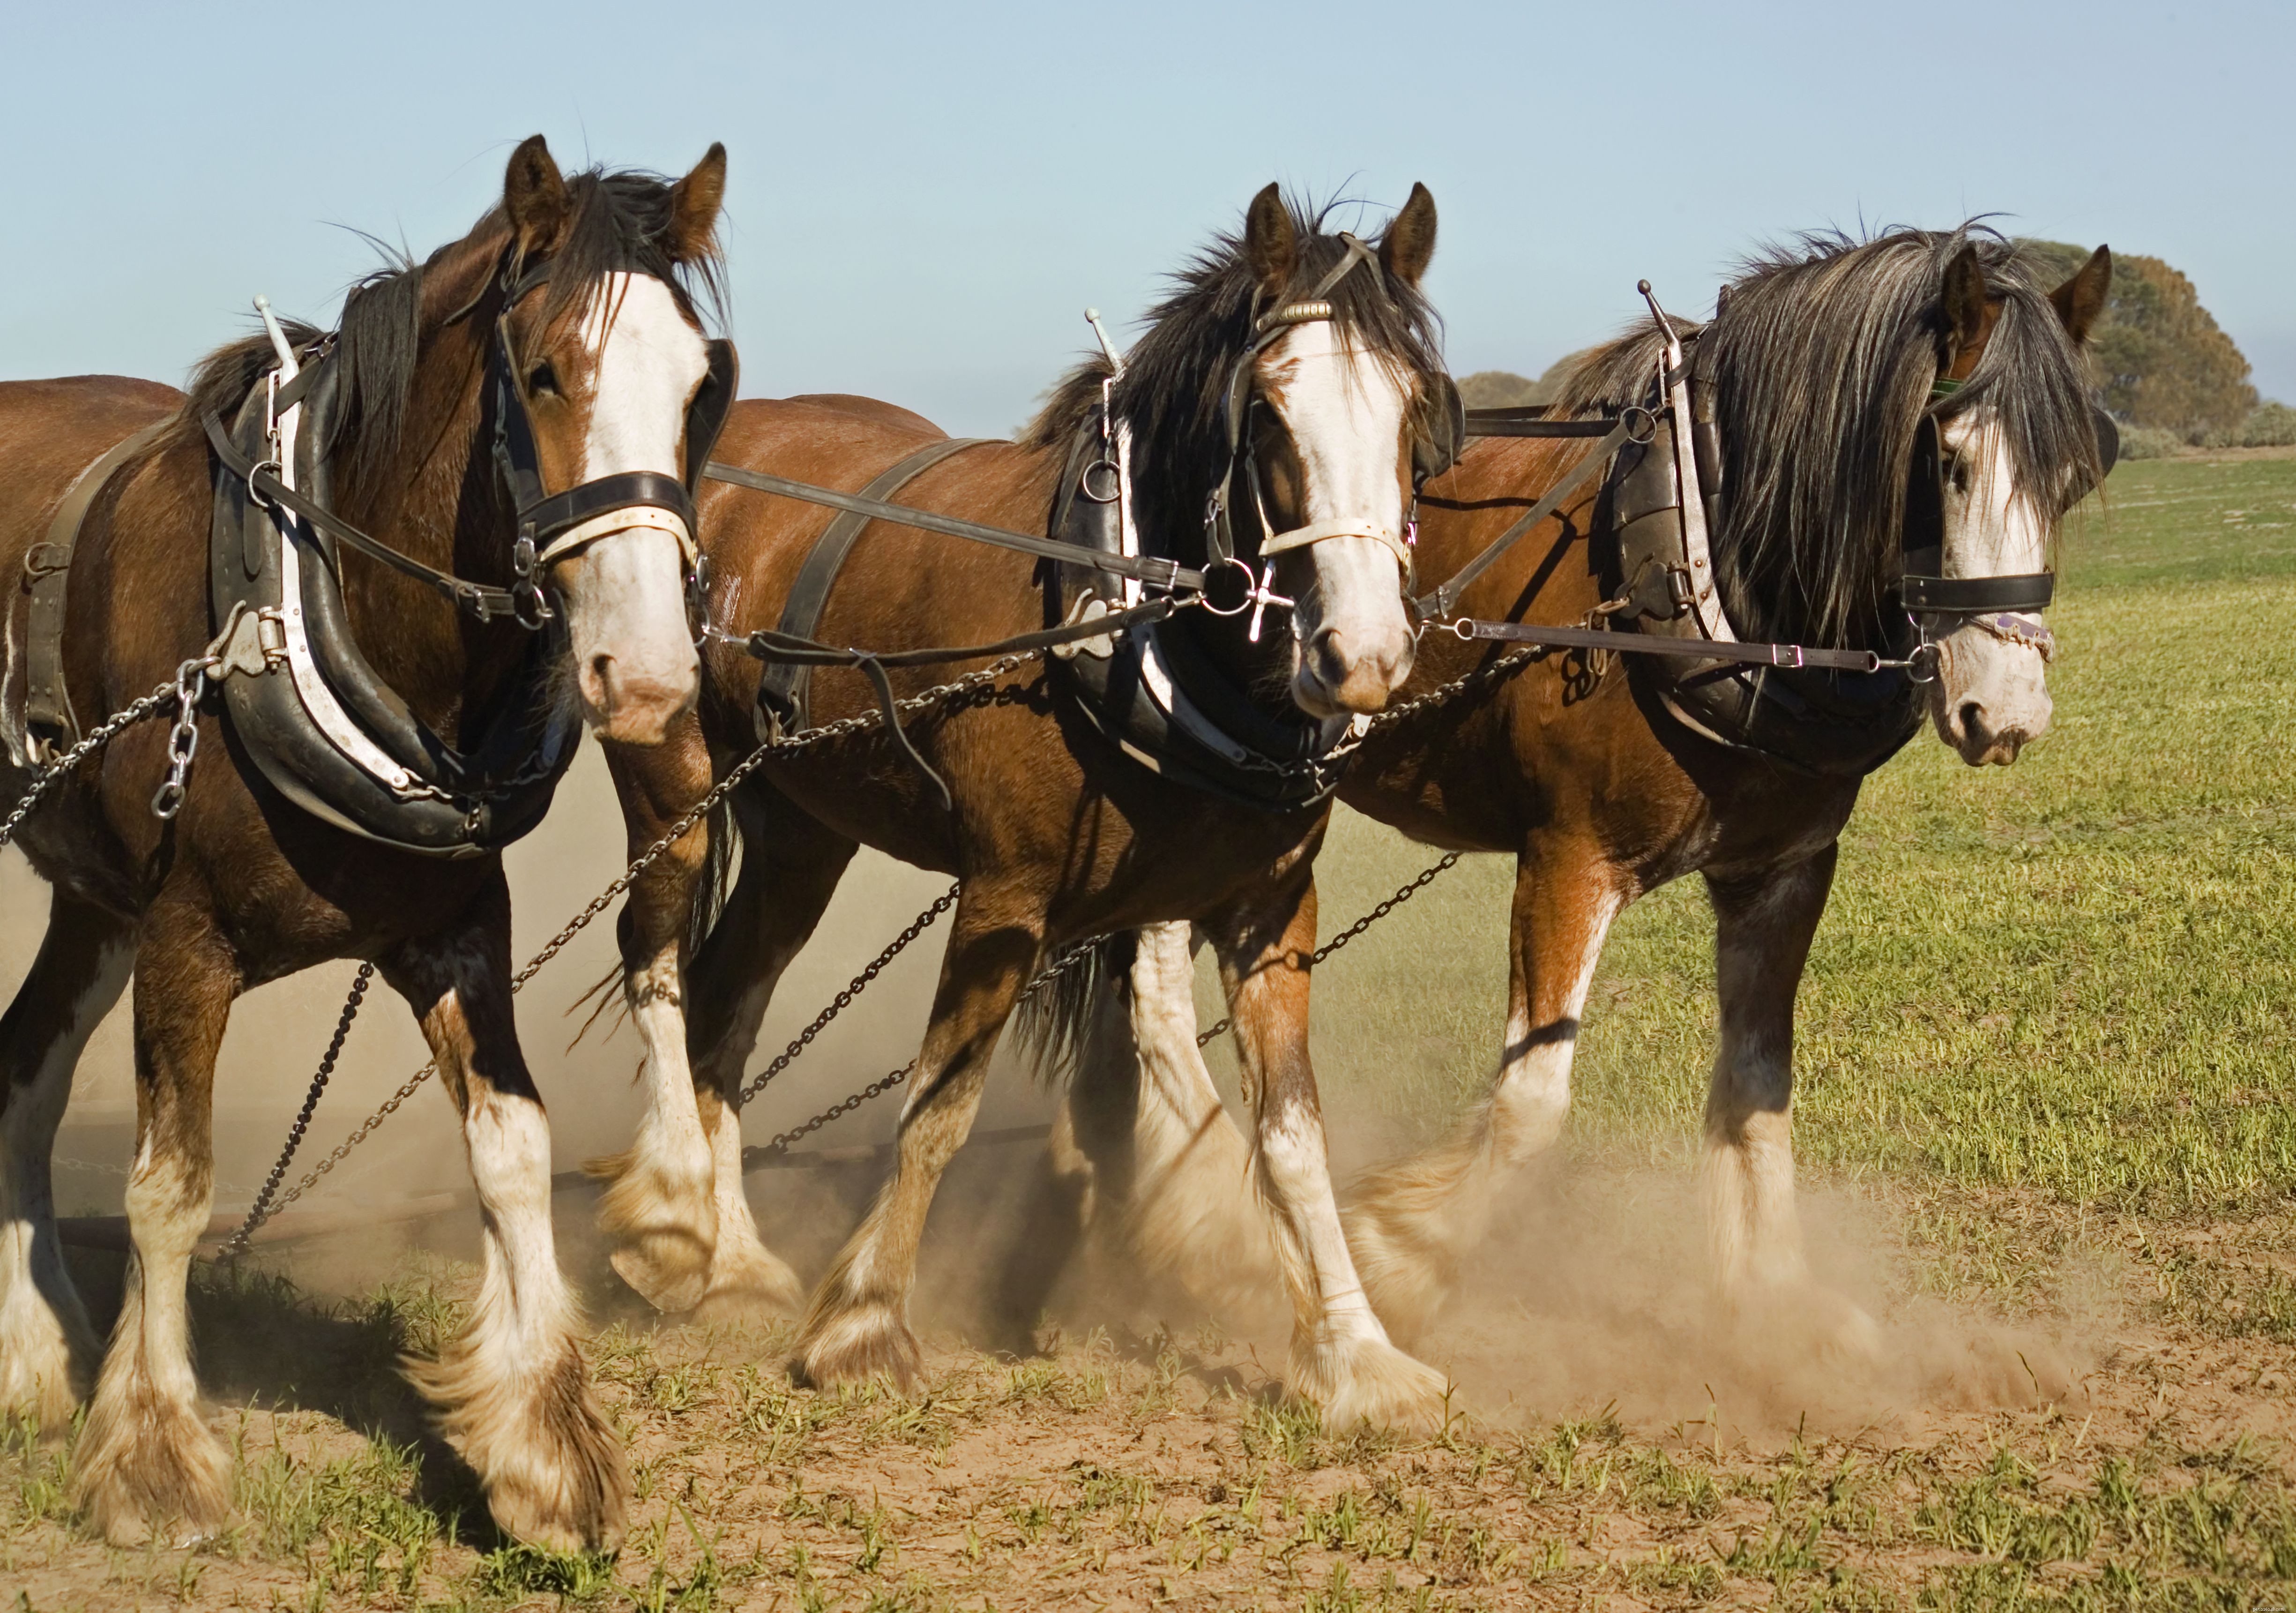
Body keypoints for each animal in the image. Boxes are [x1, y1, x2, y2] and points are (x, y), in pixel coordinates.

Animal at [0, 135, 728, 1550]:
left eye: (703, 385)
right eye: (544, 370)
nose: (650, 674)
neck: (306, 610)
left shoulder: (455, 928)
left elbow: (513, 1148)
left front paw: (545, 1445)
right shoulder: (184, 938)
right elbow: (172, 1186)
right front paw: (156, 1453)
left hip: (91, 897)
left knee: (18, 1071)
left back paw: (29, 1348)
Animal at [593, 184, 1468, 1427]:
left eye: (1415, 411)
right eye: (1266, 413)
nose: (1364, 655)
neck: (1133, 616)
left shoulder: (1270, 910)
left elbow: (1293, 1130)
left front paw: (1356, 1351)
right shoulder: (1005, 897)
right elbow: (940, 1107)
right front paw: (864, 1322)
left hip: (803, 829)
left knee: (728, 1002)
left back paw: (735, 1259)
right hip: (671, 775)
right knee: (658, 957)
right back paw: (670, 1221)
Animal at [1020, 227, 2114, 1371]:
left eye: (2079, 472)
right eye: (1947, 459)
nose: (2007, 712)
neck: (1705, 567)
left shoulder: (1780, 872)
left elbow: (1759, 1086)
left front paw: (1776, 1306)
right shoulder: (1568, 861)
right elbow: (1532, 1104)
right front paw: (1398, 1254)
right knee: (1150, 1000)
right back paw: (1206, 1224)